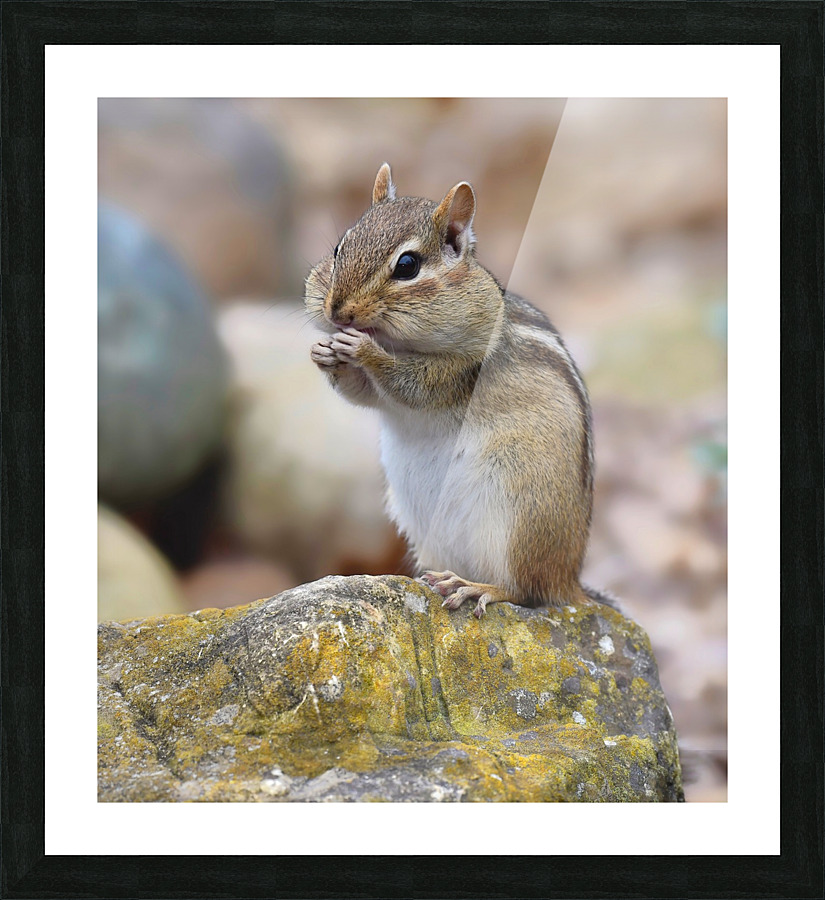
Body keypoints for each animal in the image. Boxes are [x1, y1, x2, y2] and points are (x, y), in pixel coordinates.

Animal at [306, 163, 615, 618]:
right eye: (339, 246)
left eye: (407, 266)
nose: (336, 311)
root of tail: (569, 580)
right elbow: (364, 395)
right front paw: (324, 352)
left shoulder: (461, 372)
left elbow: (411, 384)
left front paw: (362, 350)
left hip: (520, 518)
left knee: (526, 591)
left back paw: (474, 586)